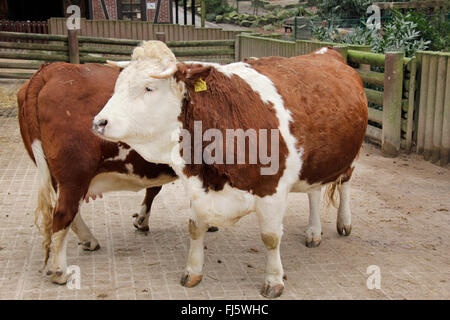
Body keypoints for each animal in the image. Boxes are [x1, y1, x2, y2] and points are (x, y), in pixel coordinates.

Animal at [18, 62, 178, 282]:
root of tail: (53, 69)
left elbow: (154, 189)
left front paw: (141, 220)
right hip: (75, 172)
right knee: (63, 213)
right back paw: (60, 271)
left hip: (58, 176)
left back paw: (88, 240)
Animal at [92, 42, 370, 298]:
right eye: (117, 86)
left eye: (149, 88)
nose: (99, 122)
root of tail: (327, 51)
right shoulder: (198, 187)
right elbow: (195, 229)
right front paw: (192, 272)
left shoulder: (272, 190)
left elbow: (271, 237)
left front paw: (273, 280)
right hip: (315, 160)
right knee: (314, 192)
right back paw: (314, 232)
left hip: (351, 156)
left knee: (345, 185)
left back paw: (344, 223)